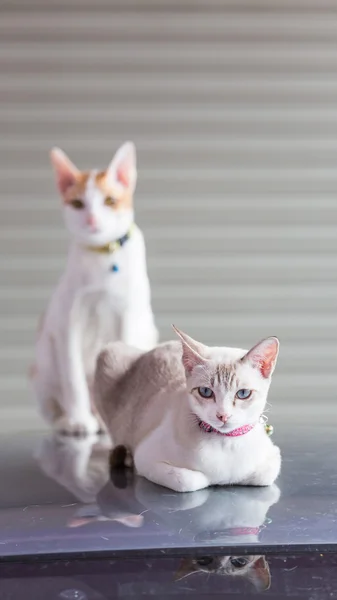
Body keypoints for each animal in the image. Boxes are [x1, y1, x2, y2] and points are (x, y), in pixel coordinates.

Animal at [31, 141, 158, 436]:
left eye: (110, 201)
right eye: (78, 204)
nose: (91, 219)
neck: (104, 256)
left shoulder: (127, 315)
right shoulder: (67, 324)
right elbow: (73, 379)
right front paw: (78, 420)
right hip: (43, 365)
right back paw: (73, 419)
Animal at [93, 328, 280, 492]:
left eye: (243, 394)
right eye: (205, 392)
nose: (223, 415)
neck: (224, 443)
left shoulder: (273, 458)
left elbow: (261, 475)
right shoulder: (145, 458)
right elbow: (191, 480)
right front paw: (210, 480)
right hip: (109, 354)